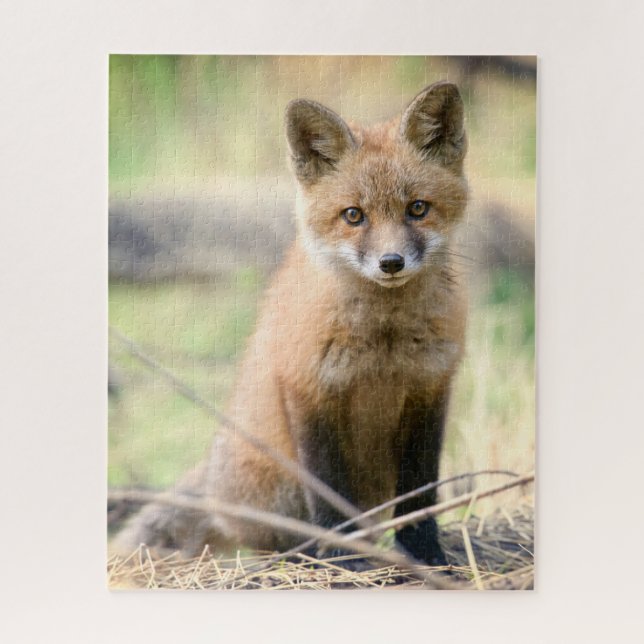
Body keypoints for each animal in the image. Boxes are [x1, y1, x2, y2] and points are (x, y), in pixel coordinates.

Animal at [113, 81, 469, 568]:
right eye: (353, 215)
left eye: (417, 209)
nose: (391, 262)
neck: (384, 343)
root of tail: (213, 485)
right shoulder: (309, 389)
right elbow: (328, 488)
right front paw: (340, 556)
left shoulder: (430, 392)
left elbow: (421, 492)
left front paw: (427, 555)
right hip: (277, 487)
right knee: (271, 538)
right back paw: (302, 555)